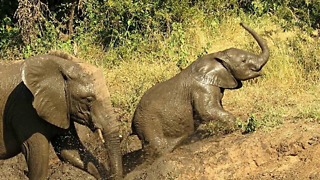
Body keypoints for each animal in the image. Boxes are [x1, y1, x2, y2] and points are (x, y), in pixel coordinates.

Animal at [131, 22, 268, 159]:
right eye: (243, 61)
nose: (240, 23)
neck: (218, 55)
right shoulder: (202, 88)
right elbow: (206, 110)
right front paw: (237, 126)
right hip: (148, 123)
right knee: (157, 146)